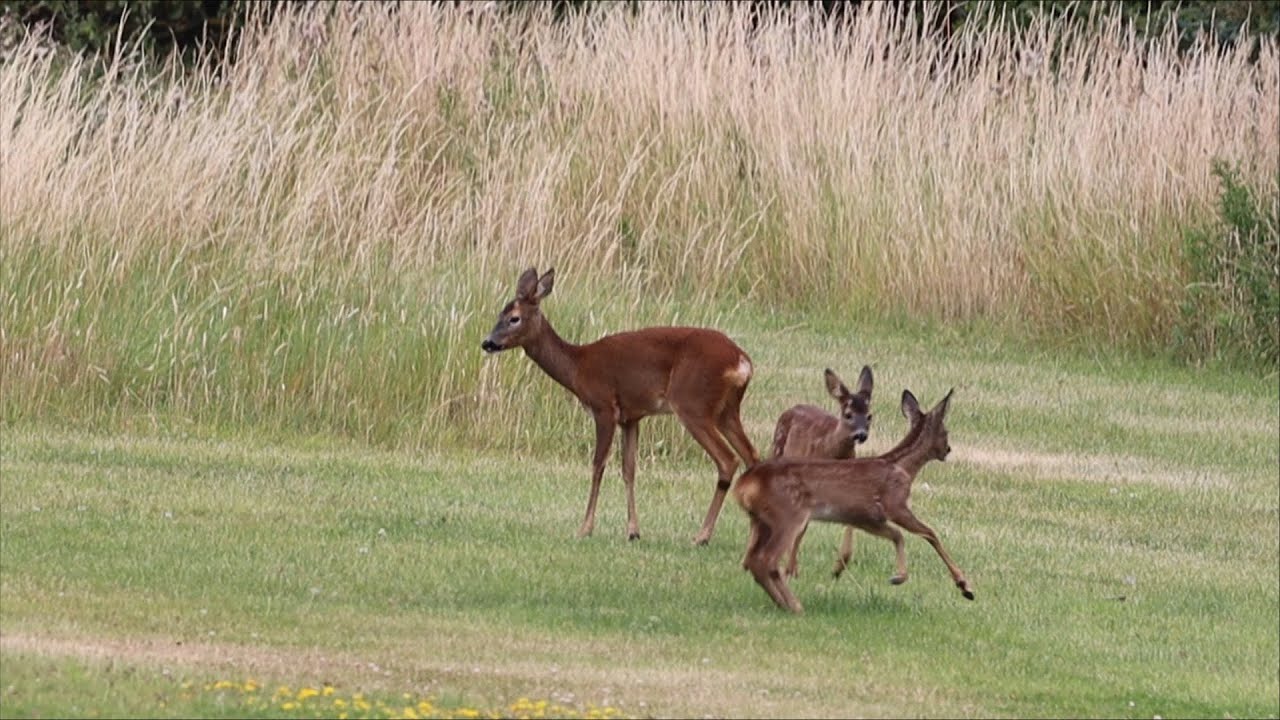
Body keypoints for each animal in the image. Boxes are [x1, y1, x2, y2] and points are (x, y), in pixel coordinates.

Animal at [480, 267, 760, 545]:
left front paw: (585, 528)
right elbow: (629, 470)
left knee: (728, 461)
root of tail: (742, 362)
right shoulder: (631, 417)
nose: (487, 343)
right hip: (727, 410)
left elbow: (598, 465)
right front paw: (633, 531)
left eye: (514, 318)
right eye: (499, 314)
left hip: (693, 404)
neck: (577, 367)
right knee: (752, 457)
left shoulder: (604, 407)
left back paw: (702, 536)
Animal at [735, 388, 974, 613]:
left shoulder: (866, 518)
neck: (903, 467)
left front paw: (898, 577)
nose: (948, 449)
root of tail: (744, 483)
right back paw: (795, 605)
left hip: (762, 519)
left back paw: (785, 603)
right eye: (945, 431)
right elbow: (930, 534)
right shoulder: (895, 503)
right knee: (766, 560)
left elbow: (897, 536)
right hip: (788, 515)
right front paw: (964, 586)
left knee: (752, 559)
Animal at [764, 366, 875, 580]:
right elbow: (802, 528)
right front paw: (791, 570)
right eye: (848, 414)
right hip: (778, 451)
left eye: (869, 415)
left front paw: (839, 566)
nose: (861, 435)